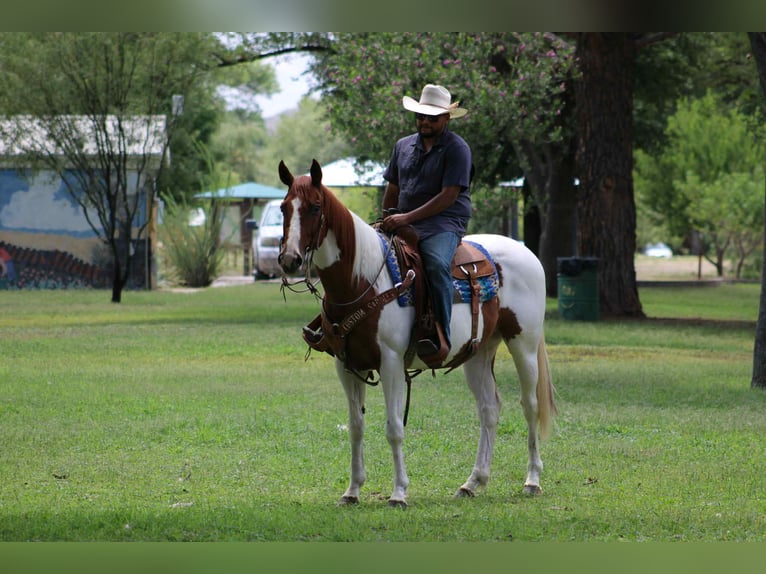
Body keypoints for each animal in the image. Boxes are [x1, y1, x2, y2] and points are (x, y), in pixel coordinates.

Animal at [277, 159, 556, 508]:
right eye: (284, 207)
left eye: (315, 207)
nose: (290, 259)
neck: (362, 280)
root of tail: (526, 254)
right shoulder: (346, 364)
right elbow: (356, 427)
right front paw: (352, 491)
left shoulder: (391, 363)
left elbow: (394, 428)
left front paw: (399, 492)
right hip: (478, 352)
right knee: (489, 409)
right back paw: (472, 483)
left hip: (524, 344)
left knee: (530, 405)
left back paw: (532, 480)